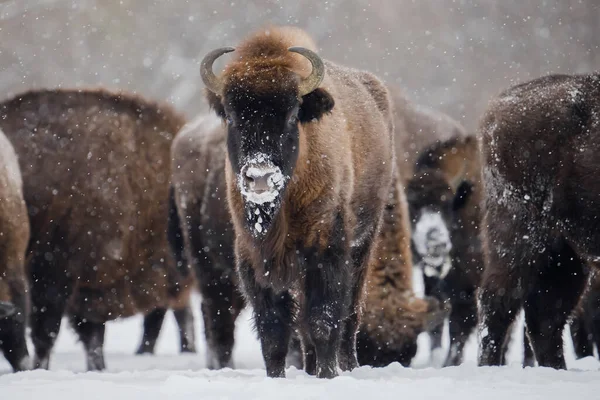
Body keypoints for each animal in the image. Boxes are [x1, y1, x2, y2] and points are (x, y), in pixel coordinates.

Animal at [199, 25, 396, 378]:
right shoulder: (254, 256)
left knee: (351, 313)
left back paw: (347, 365)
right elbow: (274, 329)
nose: (260, 177)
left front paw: (329, 374)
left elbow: (324, 319)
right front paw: (277, 377)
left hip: (365, 241)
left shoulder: (327, 248)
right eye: (232, 117)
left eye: (291, 115)